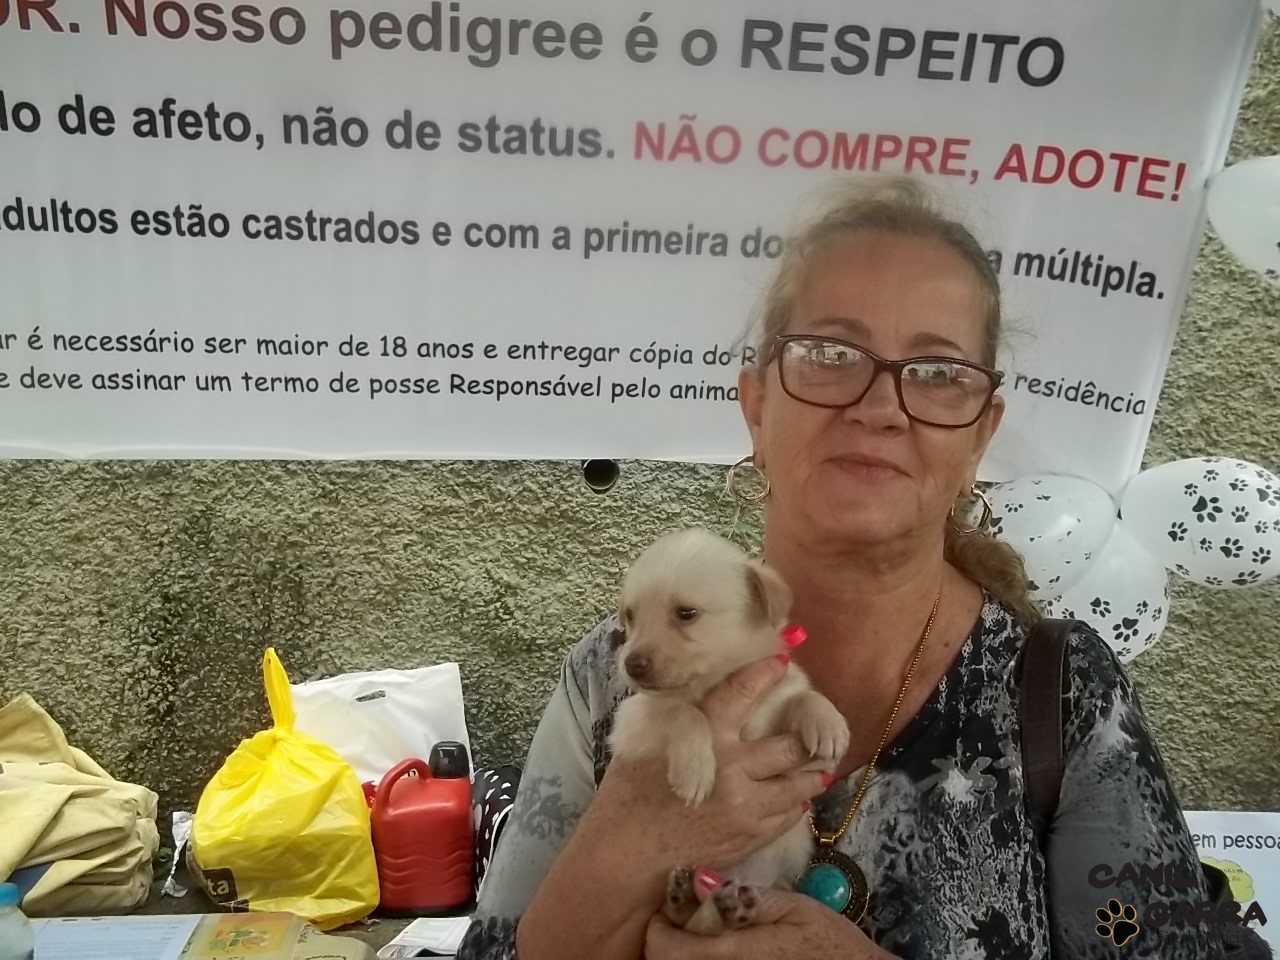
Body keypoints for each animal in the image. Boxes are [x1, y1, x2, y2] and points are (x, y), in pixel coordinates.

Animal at [606, 527, 850, 936]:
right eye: (630, 616)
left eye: (686, 613)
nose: (631, 664)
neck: (716, 682)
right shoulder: (631, 721)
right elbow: (682, 711)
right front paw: (695, 769)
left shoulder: (800, 767)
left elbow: (801, 696)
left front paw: (826, 721)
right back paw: (692, 900)